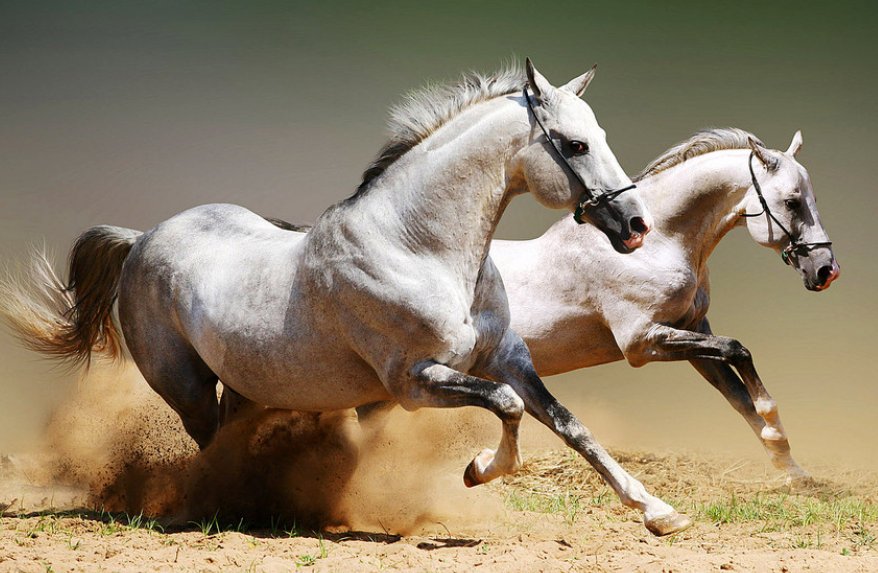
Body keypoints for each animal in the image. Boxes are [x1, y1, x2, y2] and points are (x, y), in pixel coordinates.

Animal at [1, 60, 698, 536]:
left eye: (600, 134)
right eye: (575, 144)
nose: (635, 225)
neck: (418, 248)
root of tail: (142, 238)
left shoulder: (506, 358)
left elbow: (569, 424)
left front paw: (659, 512)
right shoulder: (413, 382)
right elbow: (505, 407)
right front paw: (477, 470)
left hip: (248, 386)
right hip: (186, 386)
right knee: (207, 447)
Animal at [491, 128, 839, 486]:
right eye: (792, 202)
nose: (826, 270)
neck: (656, 246)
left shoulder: (692, 332)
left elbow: (739, 397)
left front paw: (792, 469)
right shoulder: (641, 342)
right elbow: (737, 350)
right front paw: (774, 426)